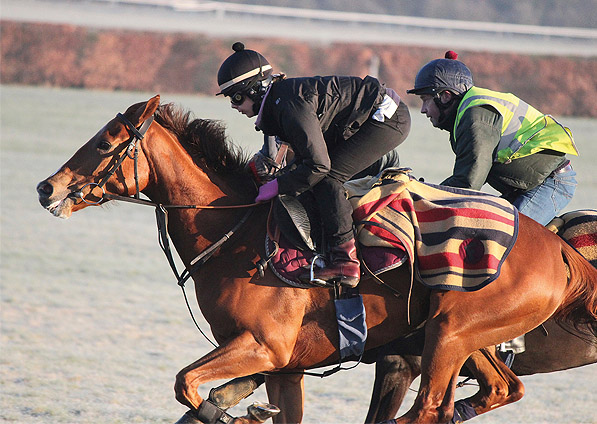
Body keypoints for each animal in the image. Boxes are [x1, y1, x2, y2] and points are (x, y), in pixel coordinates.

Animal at [37, 94, 596, 422]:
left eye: (106, 141)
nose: (48, 187)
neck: (235, 232)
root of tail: (562, 251)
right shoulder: (286, 366)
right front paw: (245, 412)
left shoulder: (265, 347)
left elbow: (186, 384)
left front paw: (238, 414)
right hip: (460, 334)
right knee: (497, 388)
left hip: (449, 336)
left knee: (431, 409)